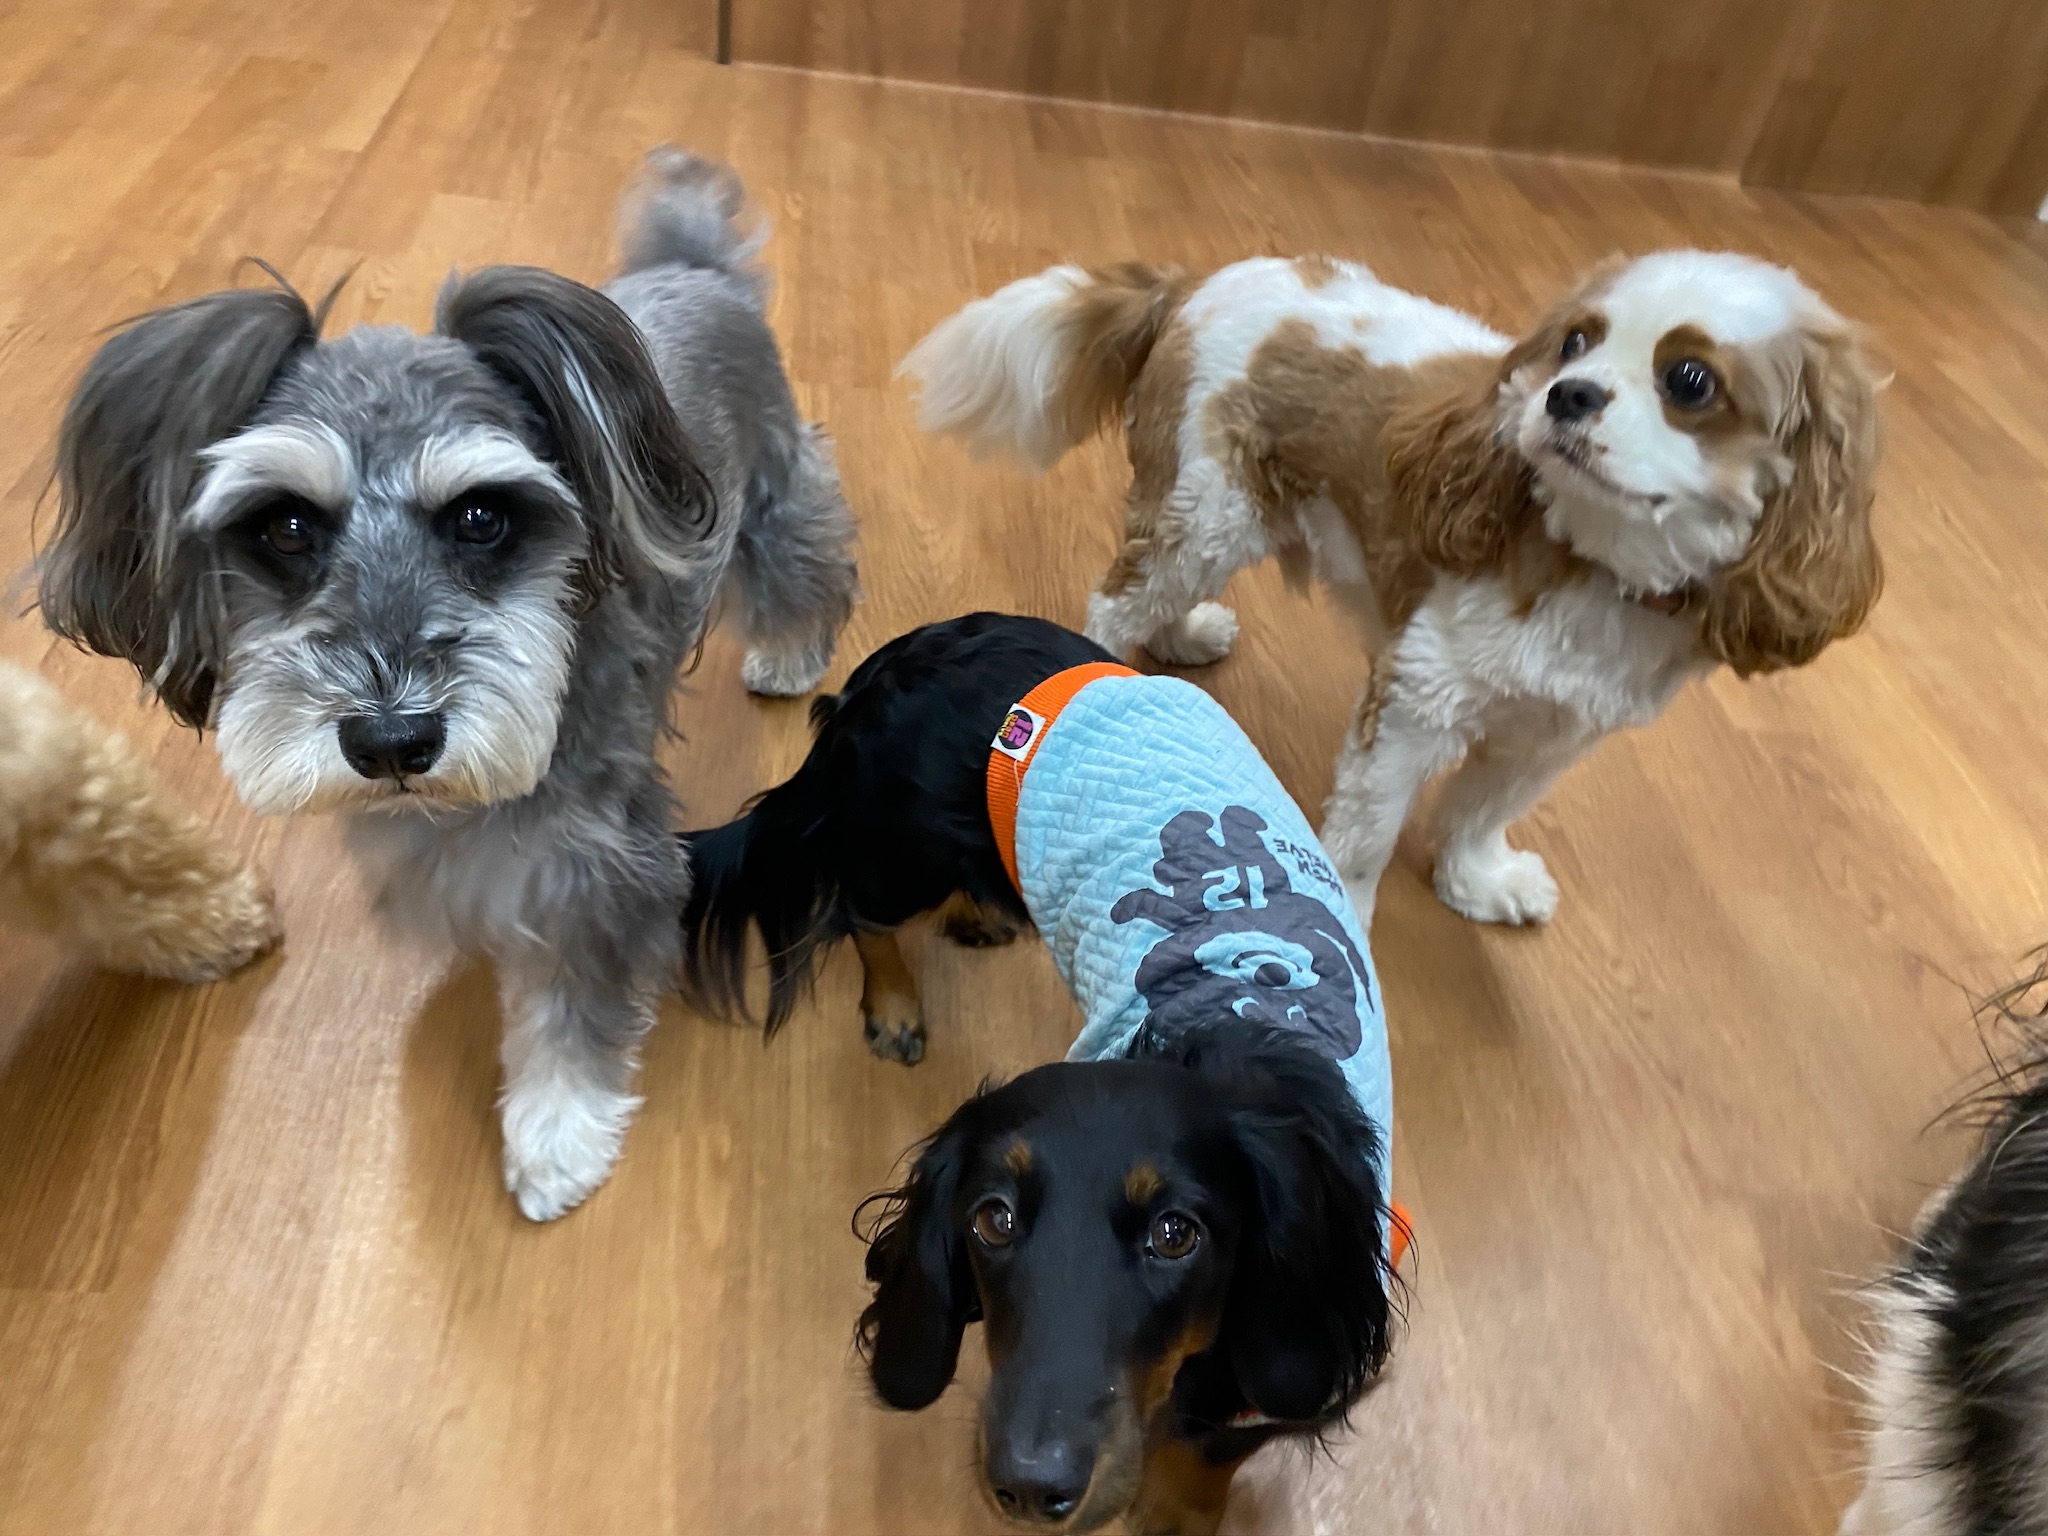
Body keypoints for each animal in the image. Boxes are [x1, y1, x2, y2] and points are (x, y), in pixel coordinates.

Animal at [36, 147, 859, 1220]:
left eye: (480, 517)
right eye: (285, 527)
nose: (392, 742)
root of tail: (698, 271)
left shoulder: (600, 868)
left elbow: (571, 1010)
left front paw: (556, 1136)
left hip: (769, 499)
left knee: (806, 563)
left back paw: (791, 652)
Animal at [680, 613, 1401, 1532]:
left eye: (1177, 1234)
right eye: (991, 1219)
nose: (1027, 1486)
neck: (1240, 1021)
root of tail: (893, 661)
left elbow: (1215, 1447)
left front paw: (1173, 1511)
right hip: (899, 852)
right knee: (861, 912)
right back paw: (895, 1006)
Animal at [901, 251, 1881, 926]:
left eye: (1689, 380)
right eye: (1577, 341)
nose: (1566, 394)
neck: (1593, 559)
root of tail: (1195, 282)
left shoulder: (1552, 732)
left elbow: (1483, 809)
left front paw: (1476, 881)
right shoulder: (1417, 697)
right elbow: (1370, 832)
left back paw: (1181, 639)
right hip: (1209, 511)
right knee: (1117, 600)